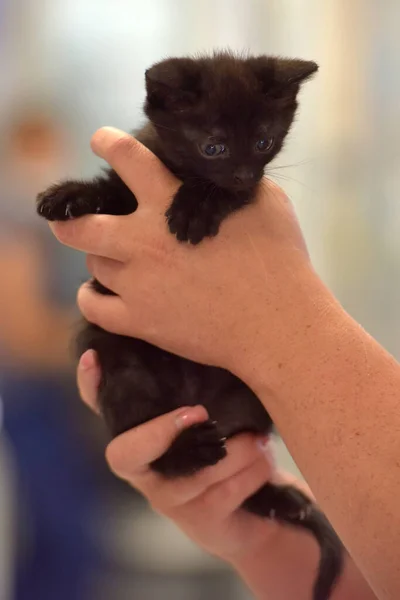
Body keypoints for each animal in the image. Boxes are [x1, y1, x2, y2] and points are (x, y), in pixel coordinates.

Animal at [38, 52, 344, 600]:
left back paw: (279, 500)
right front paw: (69, 195)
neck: (178, 171)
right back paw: (193, 452)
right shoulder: (129, 188)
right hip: (124, 371)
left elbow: (218, 194)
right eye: (213, 146)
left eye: (264, 141)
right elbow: (107, 191)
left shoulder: (248, 189)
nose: (242, 174)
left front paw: (197, 206)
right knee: (156, 457)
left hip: (253, 397)